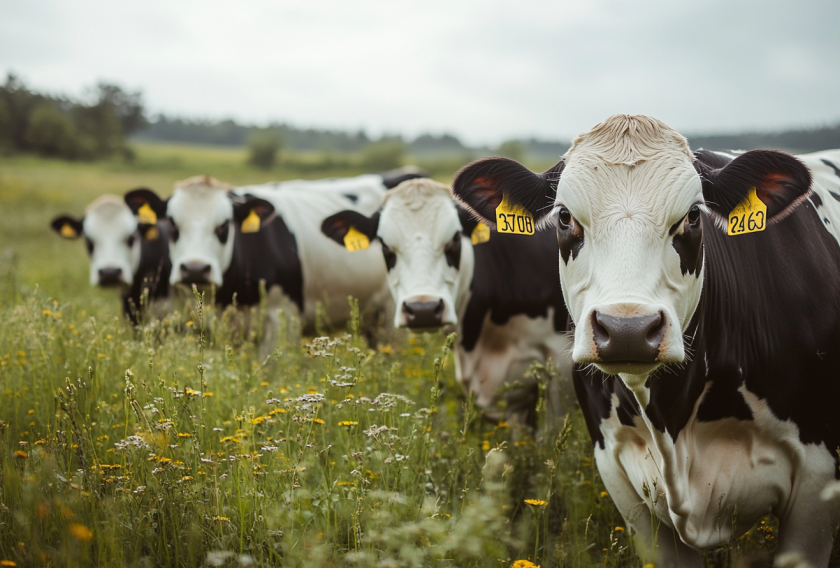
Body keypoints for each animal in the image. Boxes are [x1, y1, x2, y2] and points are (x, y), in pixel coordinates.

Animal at [452, 113, 840, 564]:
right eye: (564, 217)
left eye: (693, 216)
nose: (627, 331)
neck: (675, 424)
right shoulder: (619, 476)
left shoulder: (818, 481)